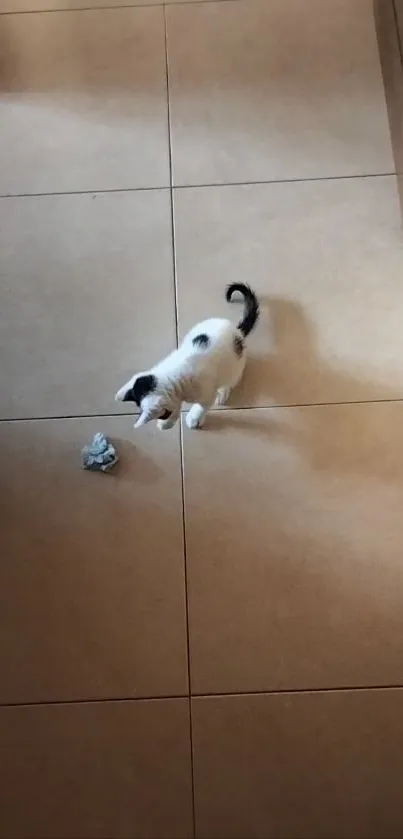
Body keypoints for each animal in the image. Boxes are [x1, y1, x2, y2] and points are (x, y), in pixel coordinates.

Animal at [115, 284, 260, 434]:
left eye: (164, 414)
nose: (163, 420)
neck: (173, 375)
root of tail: (237, 331)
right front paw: (167, 423)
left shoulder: (206, 392)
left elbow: (202, 406)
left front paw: (193, 418)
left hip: (235, 366)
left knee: (229, 380)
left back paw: (223, 392)